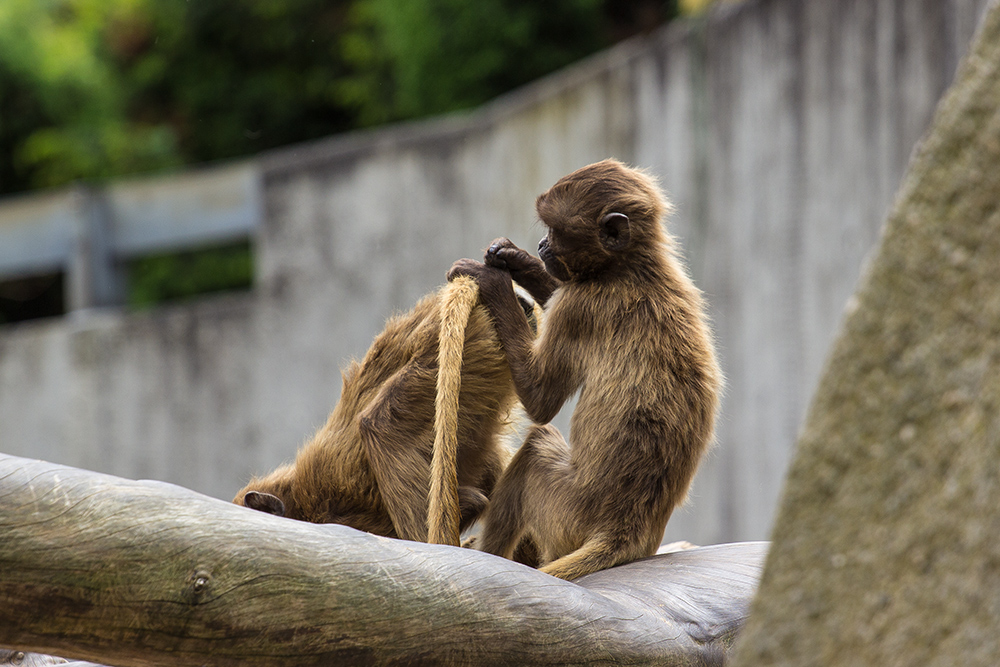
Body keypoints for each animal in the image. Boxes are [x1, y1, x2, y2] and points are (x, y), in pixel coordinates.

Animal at [450, 159, 724, 580]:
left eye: (554, 230)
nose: (542, 246)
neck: (631, 267)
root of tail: (627, 529)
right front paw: (516, 260)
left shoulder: (578, 307)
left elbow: (541, 400)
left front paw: (493, 279)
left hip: (567, 514)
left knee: (537, 446)